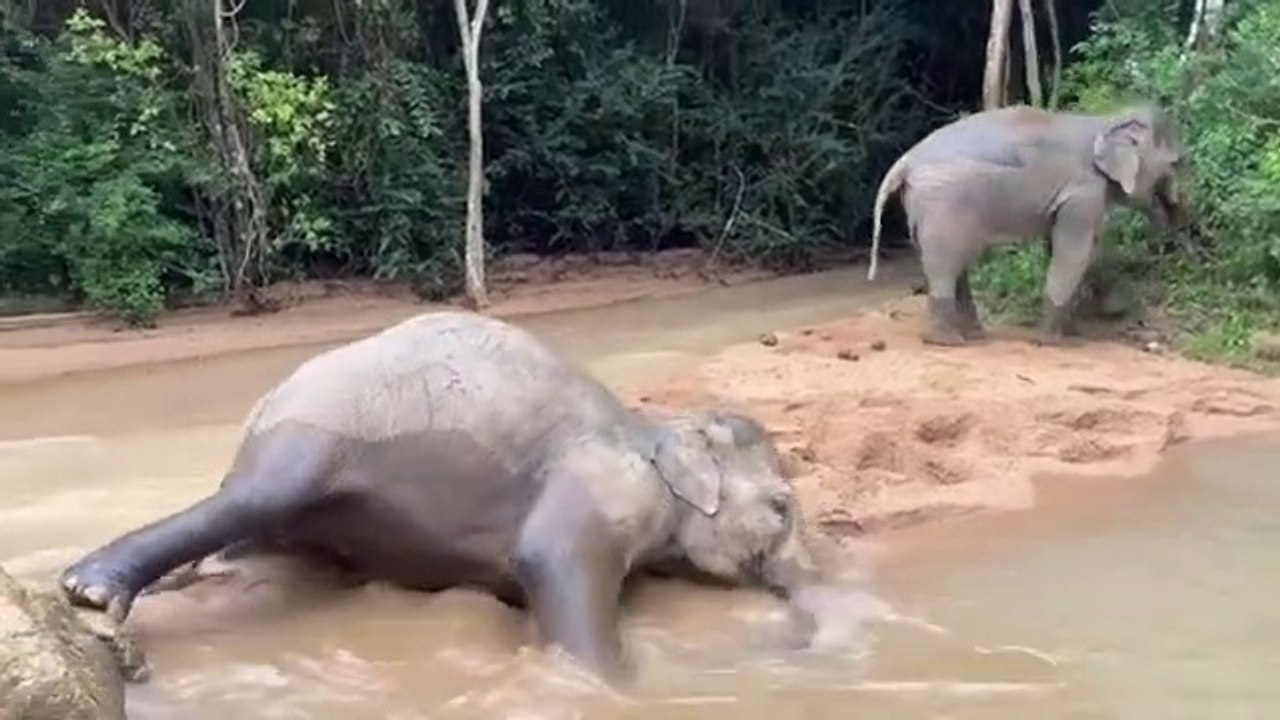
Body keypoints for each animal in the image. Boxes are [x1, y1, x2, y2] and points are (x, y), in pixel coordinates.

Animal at [58, 311, 834, 685]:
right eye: (781, 508)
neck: (652, 431)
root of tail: (263, 404)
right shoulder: (607, 486)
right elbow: (548, 560)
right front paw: (612, 685)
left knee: (248, 545)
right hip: (314, 433)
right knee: (255, 497)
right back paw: (89, 593)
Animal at [865, 103, 1188, 346]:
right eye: (1177, 163)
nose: (1180, 221)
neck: (1105, 121)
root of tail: (904, 162)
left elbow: (1061, 248)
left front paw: (1073, 331)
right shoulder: (1083, 191)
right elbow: (1076, 253)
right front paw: (1053, 341)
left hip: (922, 208)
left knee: (951, 263)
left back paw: (973, 336)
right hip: (941, 204)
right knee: (945, 264)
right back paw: (947, 341)